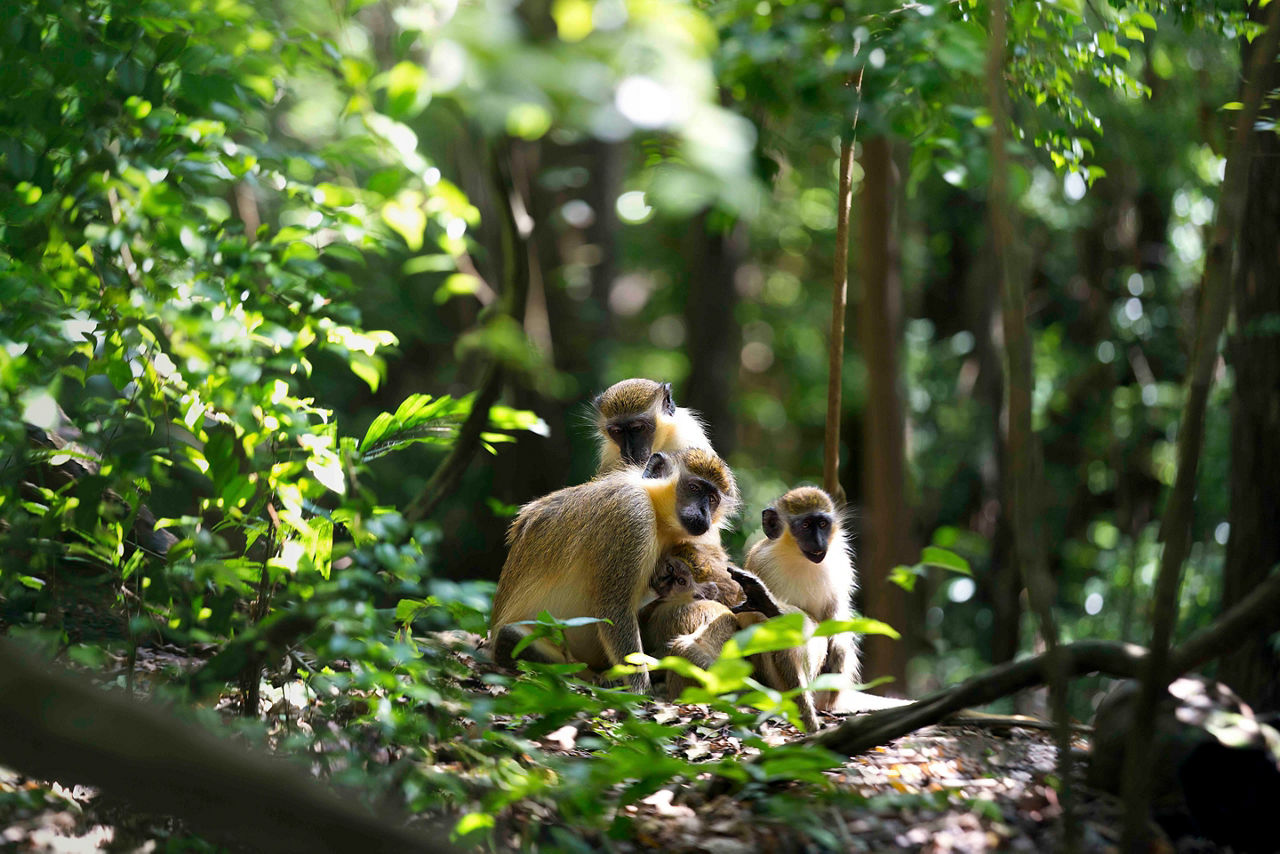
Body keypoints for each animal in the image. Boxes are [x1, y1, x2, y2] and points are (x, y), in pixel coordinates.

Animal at [489, 448, 739, 693]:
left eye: (713, 499)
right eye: (694, 488)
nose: (704, 511)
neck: (654, 507)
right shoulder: (632, 512)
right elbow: (614, 610)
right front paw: (641, 691)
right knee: (511, 637)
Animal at [744, 486, 860, 712]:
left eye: (822, 524)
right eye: (805, 525)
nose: (819, 541)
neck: (797, 557)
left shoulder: (840, 561)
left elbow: (837, 610)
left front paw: (838, 647)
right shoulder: (761, 564)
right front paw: (769, 606)